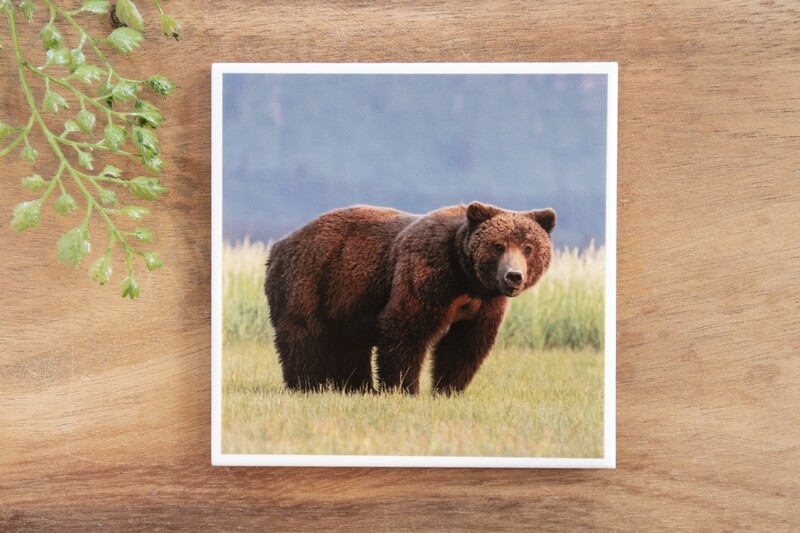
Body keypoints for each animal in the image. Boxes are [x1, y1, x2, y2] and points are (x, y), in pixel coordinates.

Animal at [264, 201, 556, 395]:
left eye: (528, 248)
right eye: (498, 246)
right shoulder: (427, 274)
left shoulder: (484, 305)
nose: (513, 276)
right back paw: (306, 385)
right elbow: (406, 329)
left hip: (347, 299)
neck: (467, 279)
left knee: (350, 347)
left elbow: (465, 344)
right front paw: (404, 388)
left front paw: (448, 389)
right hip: (309, 281)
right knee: (303, 336)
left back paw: (357, 387)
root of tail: (280, 243)